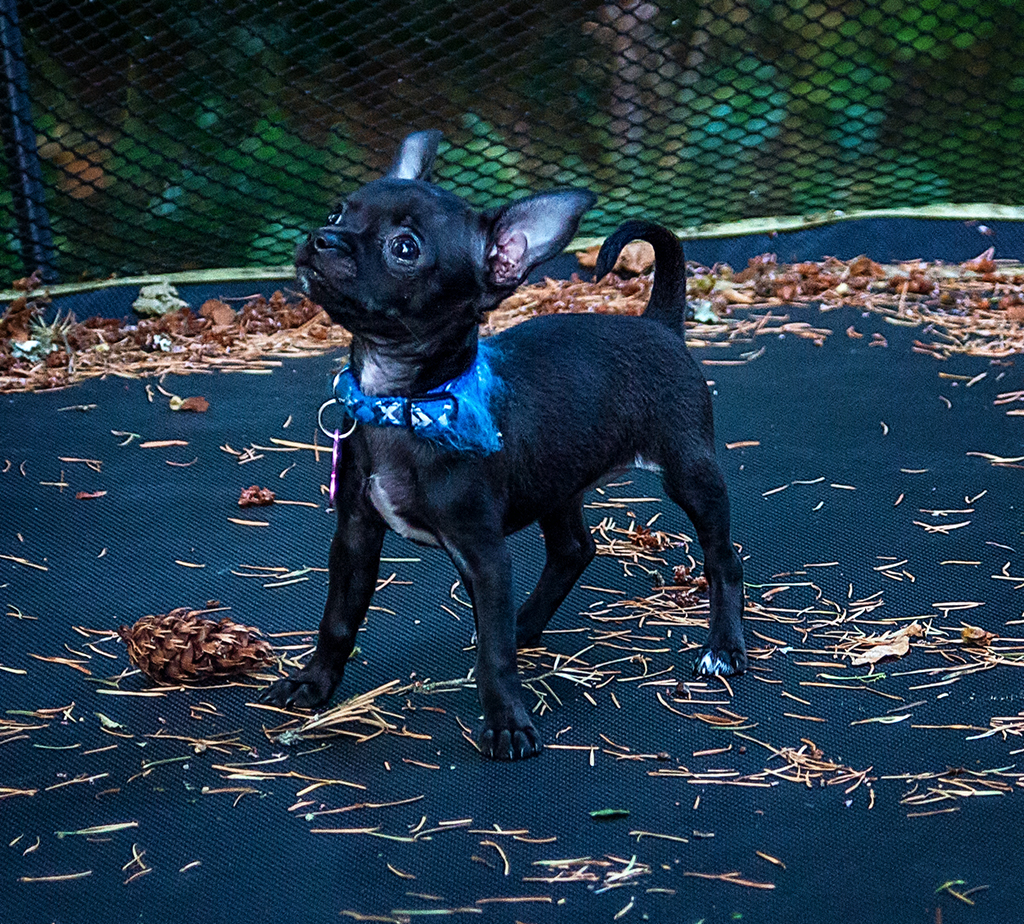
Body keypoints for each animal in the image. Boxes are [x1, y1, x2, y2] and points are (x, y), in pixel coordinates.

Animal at [260, 134, 749, 762]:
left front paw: (507, 724)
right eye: (335, 213)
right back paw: (524, 624)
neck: (404, 402)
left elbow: (493, 656)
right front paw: (315, 683)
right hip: (558, 480)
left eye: (405, 248)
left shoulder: (484, 555)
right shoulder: (354, 537)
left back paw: (725, 647)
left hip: (690, 472)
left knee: (722, 557)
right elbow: (338, 621)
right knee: (573, 550)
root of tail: (658, 323)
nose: (323, 239)